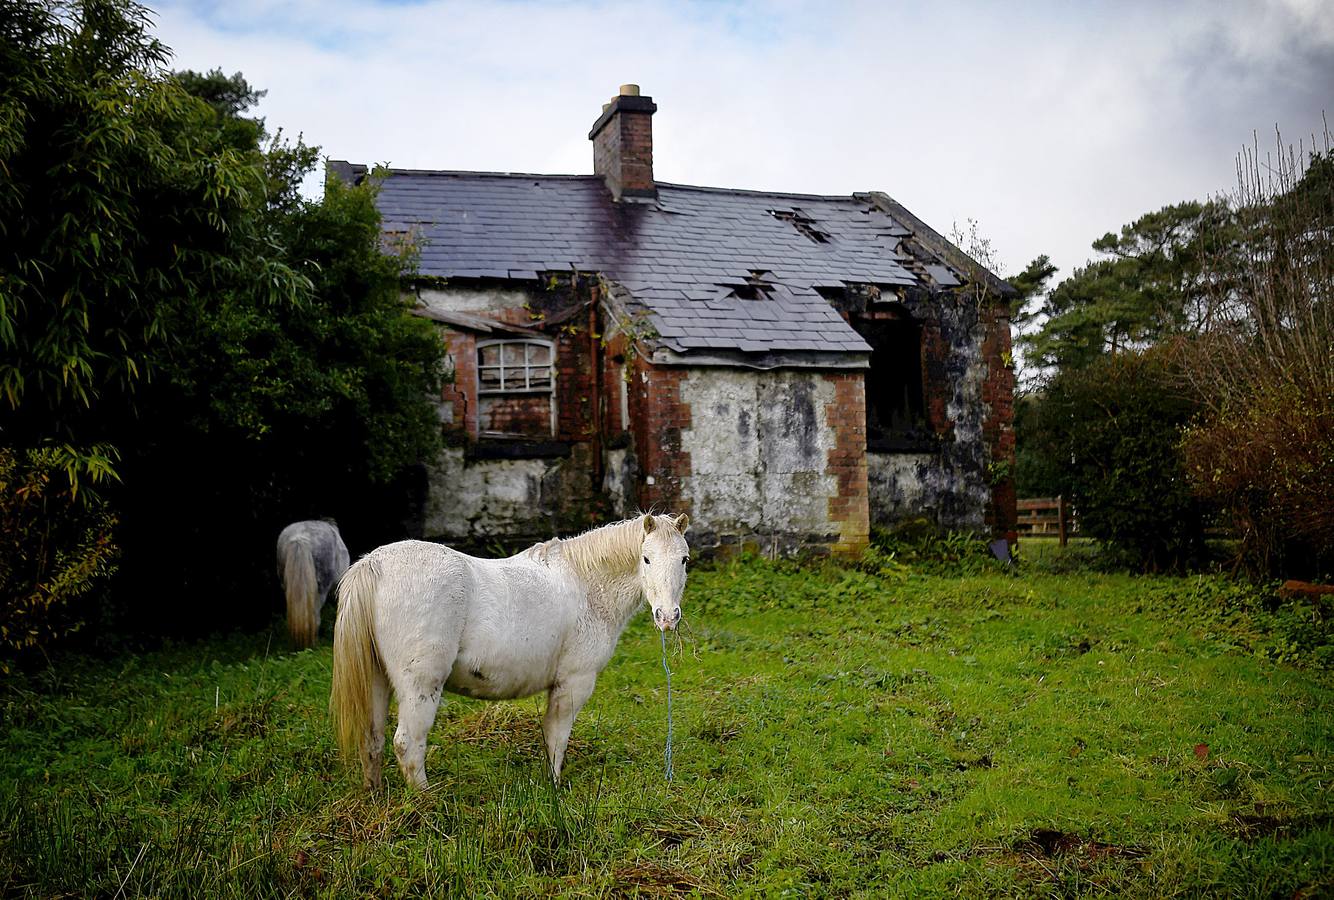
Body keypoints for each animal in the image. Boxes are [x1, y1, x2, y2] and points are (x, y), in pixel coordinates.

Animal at [330, 514, 688, 789]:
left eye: (684, 559)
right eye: (646, 558)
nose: (667, 617)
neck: (585, 583)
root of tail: (374, 564)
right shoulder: (574, 683)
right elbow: (557, 738)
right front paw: (554, 788)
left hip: (376, 681)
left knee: (372, 740)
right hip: (420, 687)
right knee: (407, 745)